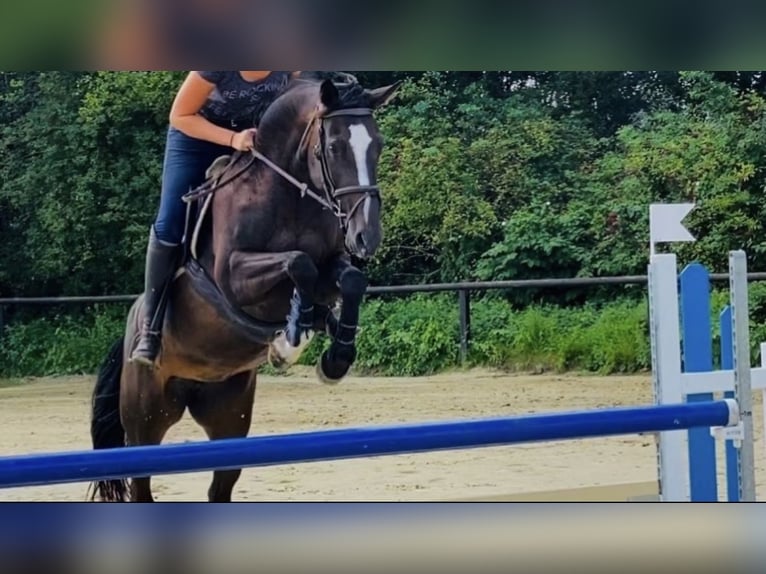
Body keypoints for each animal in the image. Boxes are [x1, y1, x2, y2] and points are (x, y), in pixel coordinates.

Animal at [88, 76, 402, 504]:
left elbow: (347, 280)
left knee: (220, 485)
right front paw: (290, 339)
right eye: (334, 147)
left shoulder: (332, 264)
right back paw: (148, 347)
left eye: (378, 144)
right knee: (141, 483)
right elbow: (297, 262)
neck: (288, 196)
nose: (367, 237)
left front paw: (333, 356)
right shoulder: (232, 277)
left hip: (228, 416)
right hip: (146, 418)